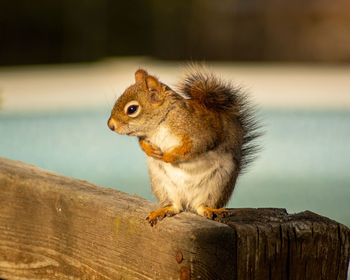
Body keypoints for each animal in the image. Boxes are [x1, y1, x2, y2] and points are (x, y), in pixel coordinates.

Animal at [108, 66, 262, 226]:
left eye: (132, 109)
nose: (110, 125)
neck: (160, 123)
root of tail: (188, 202)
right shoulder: (146, 137)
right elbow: (142, 143)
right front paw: (151, 151)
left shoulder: (201, 133)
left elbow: (193, 148)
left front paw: (167, 156)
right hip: (163, 185)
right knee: (175, 206)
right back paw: (163, 210)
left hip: (218, 185)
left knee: (202, 206)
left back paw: (210, 209)